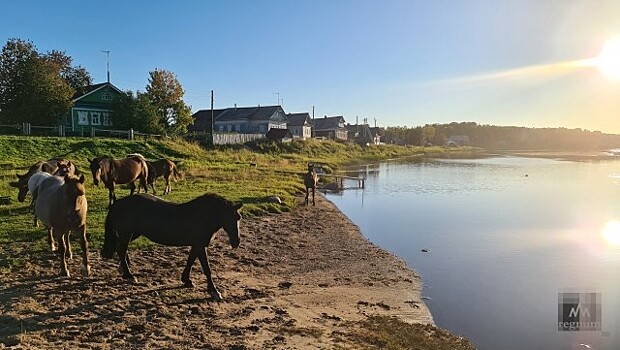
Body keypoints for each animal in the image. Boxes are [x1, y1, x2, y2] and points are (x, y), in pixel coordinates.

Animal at [101, 193, 242, 300]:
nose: (236, 241)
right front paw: (214, 291)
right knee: (121, 250)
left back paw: (124, 270)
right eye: (229, 217)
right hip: (127, 233)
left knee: (121, 249)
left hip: (132, 233)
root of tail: (119, 203)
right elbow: (207, 269)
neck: (203, 216)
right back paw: (129, 275)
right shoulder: (200, 245)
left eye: (238, 218)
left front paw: (186, 280)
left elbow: (190, 261)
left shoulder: (197, 245)